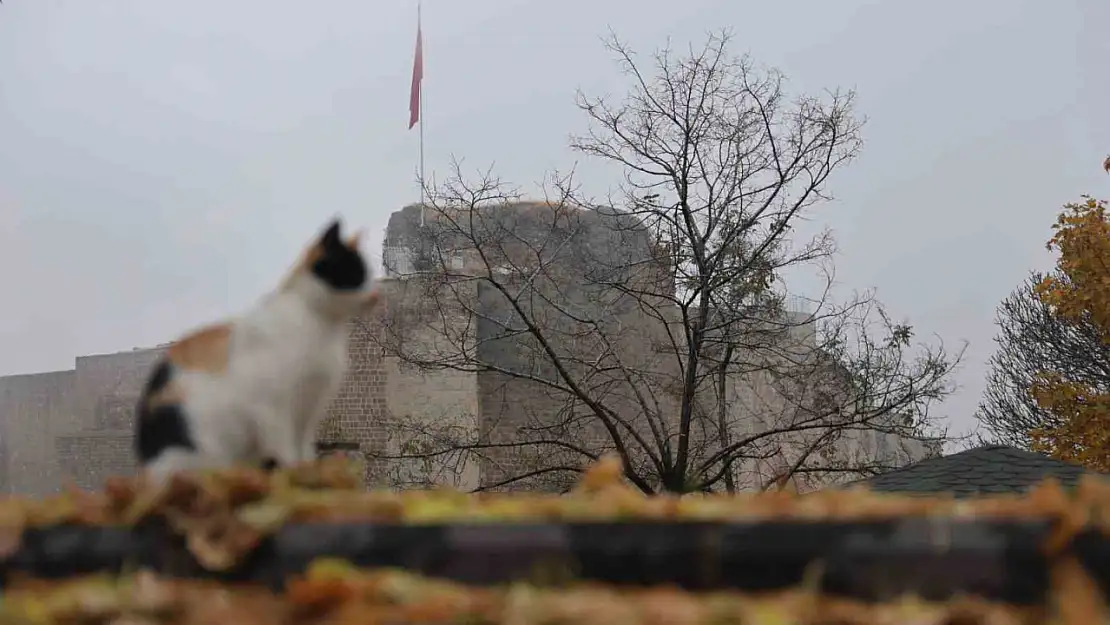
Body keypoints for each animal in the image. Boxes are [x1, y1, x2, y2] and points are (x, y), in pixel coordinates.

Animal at [130, 217, 377, 481]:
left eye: (369, 274)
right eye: (355, 273)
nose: (376, 295)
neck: (323, 327)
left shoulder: (309, 411)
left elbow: (303, 451)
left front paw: (308, 474)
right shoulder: (271, 407)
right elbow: (286, 451)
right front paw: (296, 476)